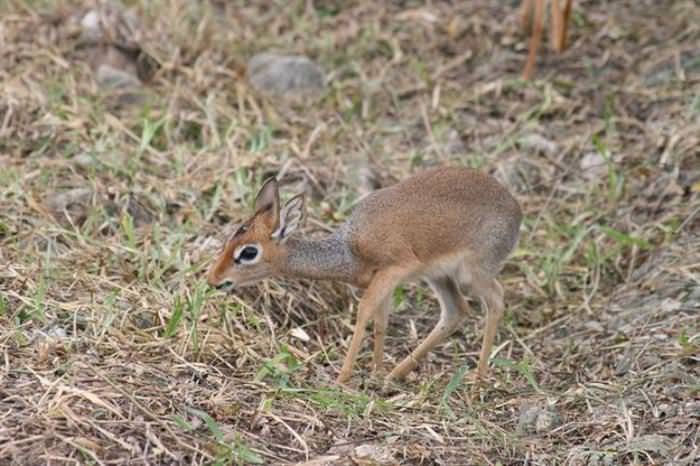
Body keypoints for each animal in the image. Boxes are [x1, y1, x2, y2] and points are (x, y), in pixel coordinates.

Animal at [205, 167, 524, 382]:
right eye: (229, 240)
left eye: (248, 252)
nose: (213, 280)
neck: (350, 249)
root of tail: (516, 210)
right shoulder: (385, 280)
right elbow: (381, 320)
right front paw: (376, 371)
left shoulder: (393, 270)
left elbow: (364, 312)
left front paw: (342, 377)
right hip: (439, 276)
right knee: (456, 310)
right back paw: (396, 374)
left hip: (474, 273)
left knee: (496, 301)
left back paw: (478, 380)